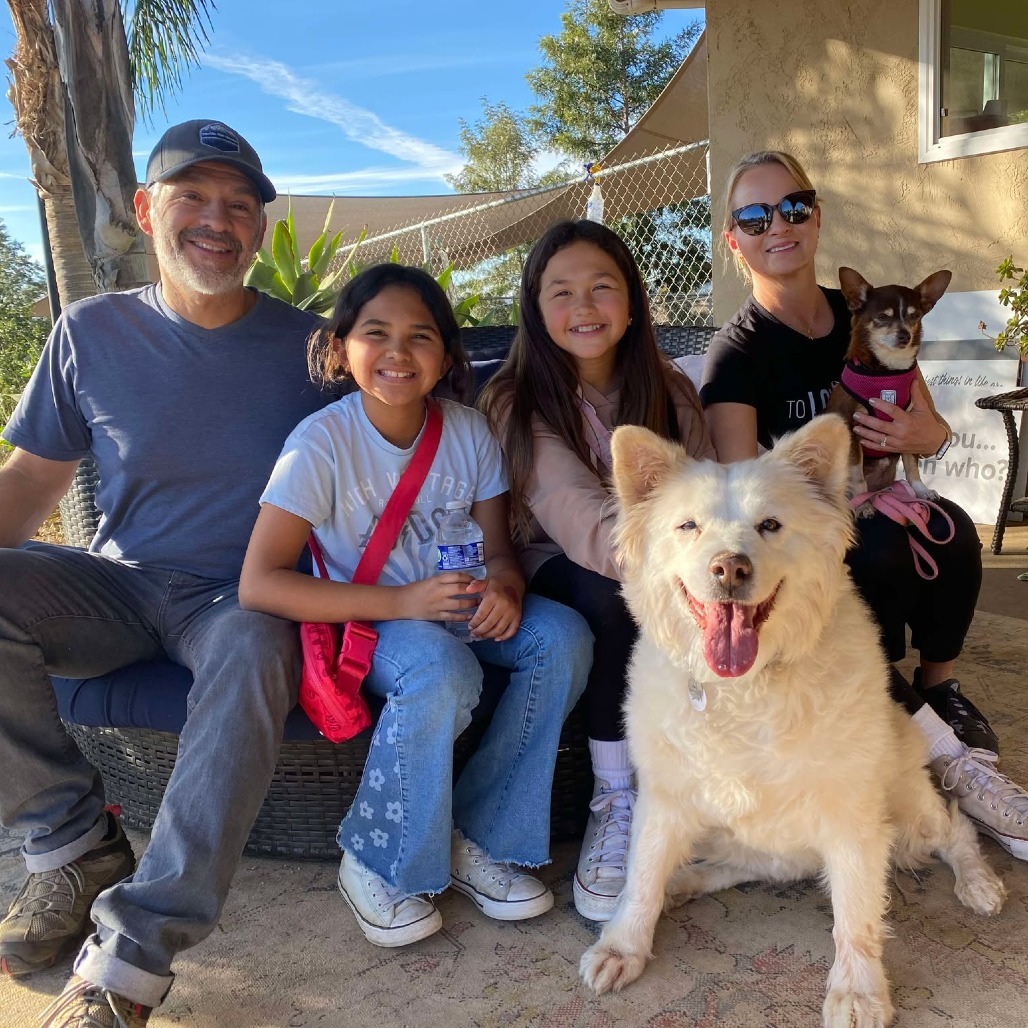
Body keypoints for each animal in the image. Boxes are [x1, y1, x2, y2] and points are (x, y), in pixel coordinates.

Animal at [583, 413, 1007, 1023]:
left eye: (770, 525)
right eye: (688, 526)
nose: (729, 568)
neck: (745, 688)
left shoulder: (851, 815)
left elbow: (856, 916)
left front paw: (858, 990)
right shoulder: (665, 798)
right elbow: (641, 877)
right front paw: (623, 946)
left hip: (909, 812)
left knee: (956, 831)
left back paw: (979, 884)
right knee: (755, 865)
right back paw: (687, 880)